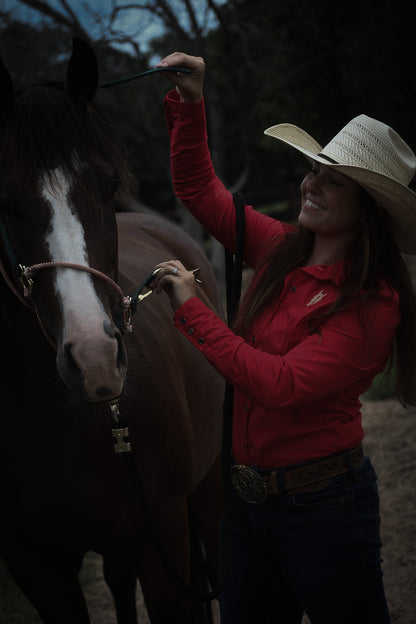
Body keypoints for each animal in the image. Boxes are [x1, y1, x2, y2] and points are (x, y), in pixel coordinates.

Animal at [0, 39, 224, 624]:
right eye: (4, 202)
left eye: (109, 184)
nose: (96, 359)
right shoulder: (36, 566)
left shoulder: (162, 540)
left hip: (210, 483)